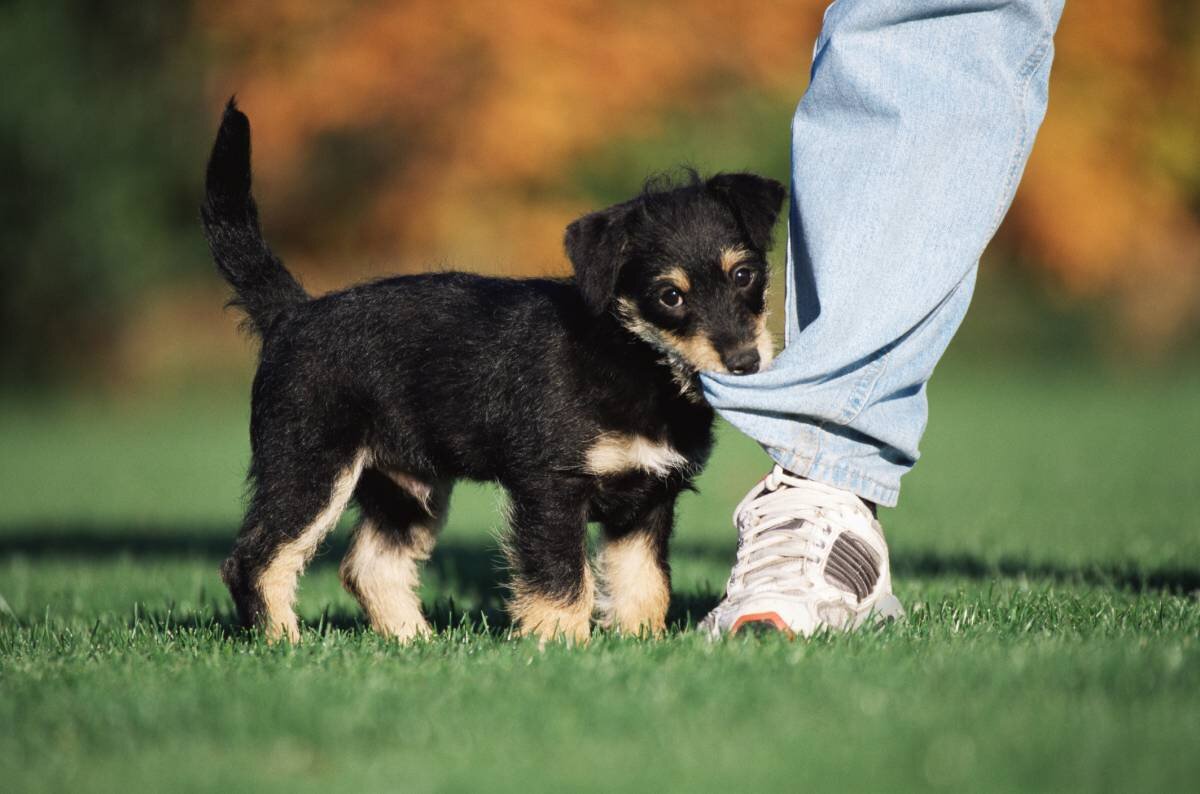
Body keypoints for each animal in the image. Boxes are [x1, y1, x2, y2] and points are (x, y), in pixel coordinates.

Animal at [204, 101, 787, 647]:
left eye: (744, 275)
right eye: (669, 296)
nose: (744, 361)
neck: (631, 357)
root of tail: (291, 315)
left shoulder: (648, 497)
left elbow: (643, 582)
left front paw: (639, 641)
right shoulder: (551, 488)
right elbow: (562, 579)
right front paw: (561, 645)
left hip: (406, 486)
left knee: (371, 565)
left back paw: (413, 642)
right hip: (309, 468)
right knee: (255, 560)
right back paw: (284, 643)